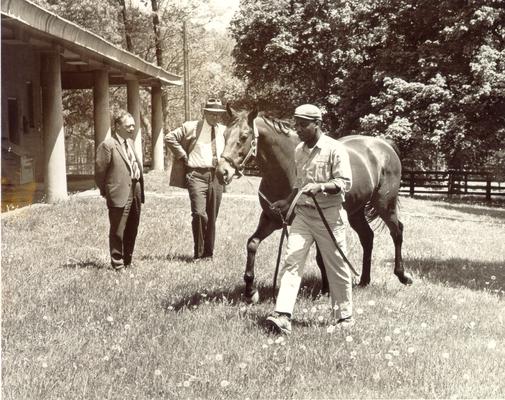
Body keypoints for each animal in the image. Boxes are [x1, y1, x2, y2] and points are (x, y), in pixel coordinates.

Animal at [215, 107, 412, 304]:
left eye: (244, 136)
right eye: (224, 134)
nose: (222, 172)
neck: (285, 168)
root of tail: (384, 145)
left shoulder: (316, 221)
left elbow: (320, 257)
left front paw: (326, 290)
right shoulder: (272, 219)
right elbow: (252, 244)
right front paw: (250, 291)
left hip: (385, 205)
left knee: (397, 232)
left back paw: (402, 275)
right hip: (355, 212)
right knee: (367, 237)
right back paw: (364, 280)